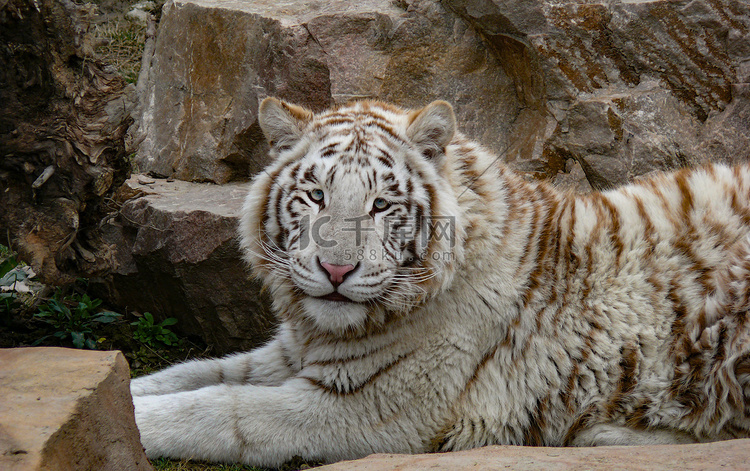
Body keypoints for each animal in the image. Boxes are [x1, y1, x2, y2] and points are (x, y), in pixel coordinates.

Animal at [132, 97, 750, 466]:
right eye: (315, 196)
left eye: (381, 205)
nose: (337, 270)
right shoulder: (294, 353)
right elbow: (192, 373)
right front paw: (128, 390)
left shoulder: (371, 408)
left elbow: (223, 410)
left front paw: (140, 422)